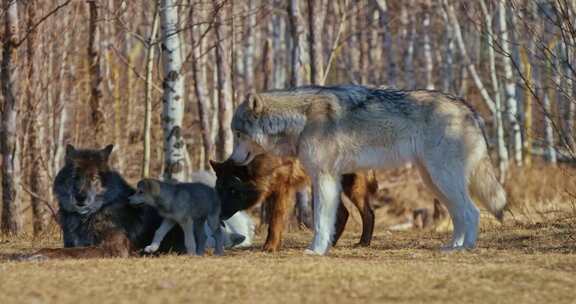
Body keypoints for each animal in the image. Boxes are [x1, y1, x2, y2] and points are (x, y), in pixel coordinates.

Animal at [209, 154, 376, 252]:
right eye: (219, 189)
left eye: (232, 190)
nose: (217, 215)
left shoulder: (283, 189)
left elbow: (275, 221)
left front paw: (270, 247)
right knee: (344, 213)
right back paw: (329, 243)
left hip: (348, 186)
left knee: (368, 213)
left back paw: (363, 243)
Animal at [227, 84, 506, 255]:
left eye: (238, 134)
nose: (232, 159)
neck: (302, 119)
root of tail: (466, 106)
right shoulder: (325, 179)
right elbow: (329, 221)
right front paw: (323, 248)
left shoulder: (324, 178)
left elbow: (320, 222)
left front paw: (315, 250)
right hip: (435, 182)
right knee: (459, 215)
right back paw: (452, 246)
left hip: (443, 178)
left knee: (472, 212)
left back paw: (466, 247)